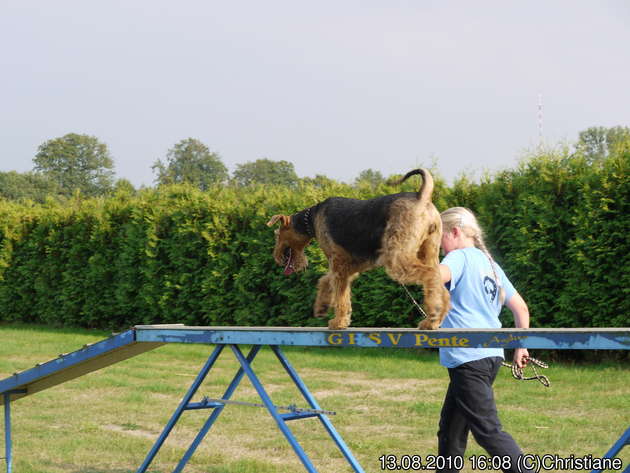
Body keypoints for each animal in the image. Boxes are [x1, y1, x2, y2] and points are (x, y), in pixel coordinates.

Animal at [266, 169, 450, 328]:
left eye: (276, 234)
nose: (276, 257)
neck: (310, 219)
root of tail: (421, 197)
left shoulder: (338, 263)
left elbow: (340, 296)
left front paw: (338, 322)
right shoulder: (350, 264)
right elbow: (326, 280)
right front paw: (321, 306)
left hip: (397, 257)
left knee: (430, 275)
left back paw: (433, 316)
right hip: (428, 251)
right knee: (440, 283)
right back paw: (434, 320)